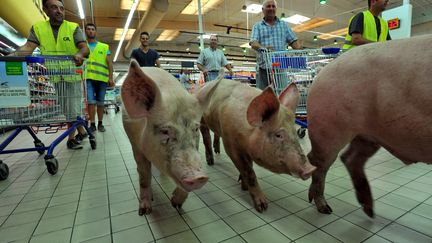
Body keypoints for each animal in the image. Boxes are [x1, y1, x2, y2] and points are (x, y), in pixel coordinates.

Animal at [121, 62, 209, 215]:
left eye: (196, 129)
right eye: (165, 131)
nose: (199, 177)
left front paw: (176, 204)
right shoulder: (135, 143)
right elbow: (144, 174)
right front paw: (145, 211)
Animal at [197, 78, 316, 213]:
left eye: (294, 132)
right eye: (278, 135)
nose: (311, 168)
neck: (246, 132)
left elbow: (249, 166)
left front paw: (243, 185)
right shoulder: (230, 145)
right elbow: (249, 172)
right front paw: (263, 207)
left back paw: (217, 151)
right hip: (202, 120)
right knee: (206, 137)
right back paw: (210, 162)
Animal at [308, 34, 432, 218]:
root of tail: (322, 72)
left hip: (369, 134)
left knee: (349, 158)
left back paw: (369, 211)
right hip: (328, 127)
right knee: (318, 163)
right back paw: (325, 209)